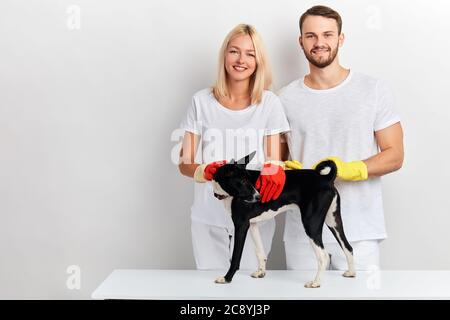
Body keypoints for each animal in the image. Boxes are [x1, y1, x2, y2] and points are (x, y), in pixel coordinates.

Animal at [211, 151, 356, 288]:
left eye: (248, 181)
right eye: (242, 181)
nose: (259, 197)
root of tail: (326, 178)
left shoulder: (241, 225)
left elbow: (235, 257)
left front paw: (227, 278)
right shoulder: (252, 224)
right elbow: (260, 251)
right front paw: (261, 272)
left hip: (311, 223)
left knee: (323, 255)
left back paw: (316, 282)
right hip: (333, 221)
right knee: (348, 247)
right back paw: (351, 273)